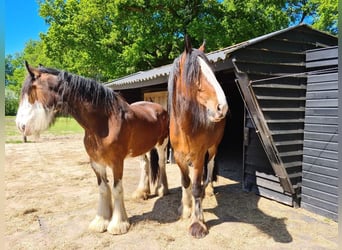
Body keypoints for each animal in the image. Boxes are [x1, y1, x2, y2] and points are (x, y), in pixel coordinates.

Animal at [15, 62, 169, 234]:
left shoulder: (117, 162)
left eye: (31, 91)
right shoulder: (96, 162)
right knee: (145, 164)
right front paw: (101, 221)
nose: (21, 126)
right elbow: (103, 189)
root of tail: (158, 107)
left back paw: (162, 190)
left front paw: (118, 224)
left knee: (161, 163)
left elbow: (116, 189)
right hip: (139, 148)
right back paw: (141, 193)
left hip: (162, 144)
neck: (105, 122)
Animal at [168, 37, 228, 238]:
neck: (186, 127)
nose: (222, 107)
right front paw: (185, 209)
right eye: (196, 74)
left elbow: (195, 186)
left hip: (213, 147)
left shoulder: (199, 155)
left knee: (210, 166)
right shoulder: (178, 155)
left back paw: (208, 190)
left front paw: (198, 223)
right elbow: (185, 181)